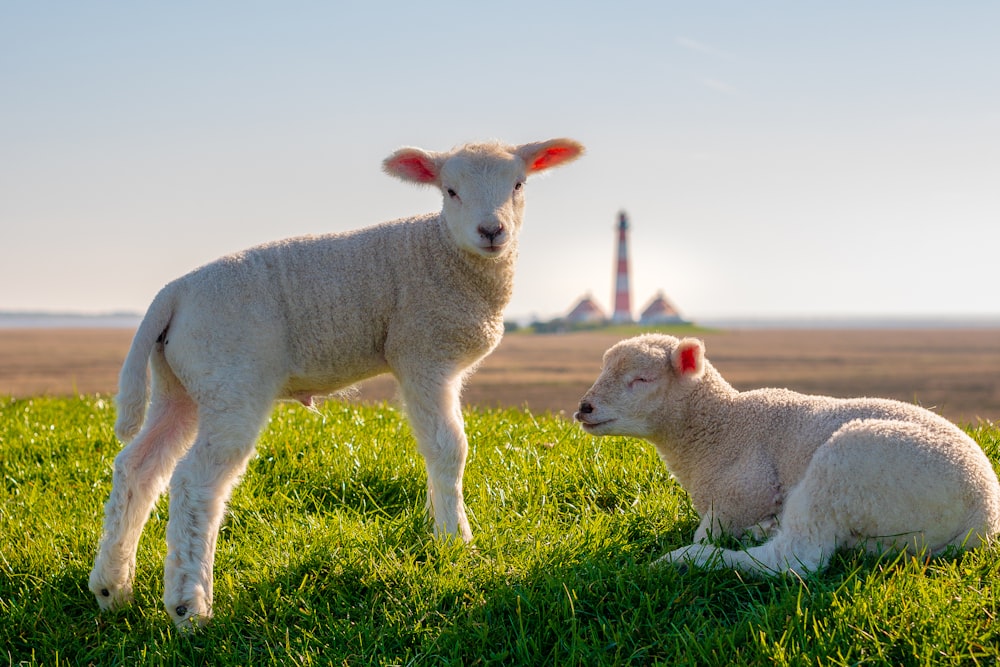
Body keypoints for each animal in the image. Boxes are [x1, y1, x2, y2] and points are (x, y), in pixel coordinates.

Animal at [91, 138, 584, 628]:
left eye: (518, 184)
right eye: (450, 191)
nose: (491, 231)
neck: (440, 248)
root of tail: (172, 294)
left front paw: (436, 528)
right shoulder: (422, 352)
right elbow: (448, 449)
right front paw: (455, 542)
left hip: (181, 384)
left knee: (138, 466)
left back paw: (112, 586)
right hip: (231, 378)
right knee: (195, 481)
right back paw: (189, 605)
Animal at [576, 336, 1000, 576]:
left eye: (641, 379)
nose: (583, 408)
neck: (720, 424)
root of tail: (983, 516)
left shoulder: (741, 493)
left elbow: (713, 529)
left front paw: (698, 547)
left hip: (848, 466)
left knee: (794, 560)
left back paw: (687, 559)